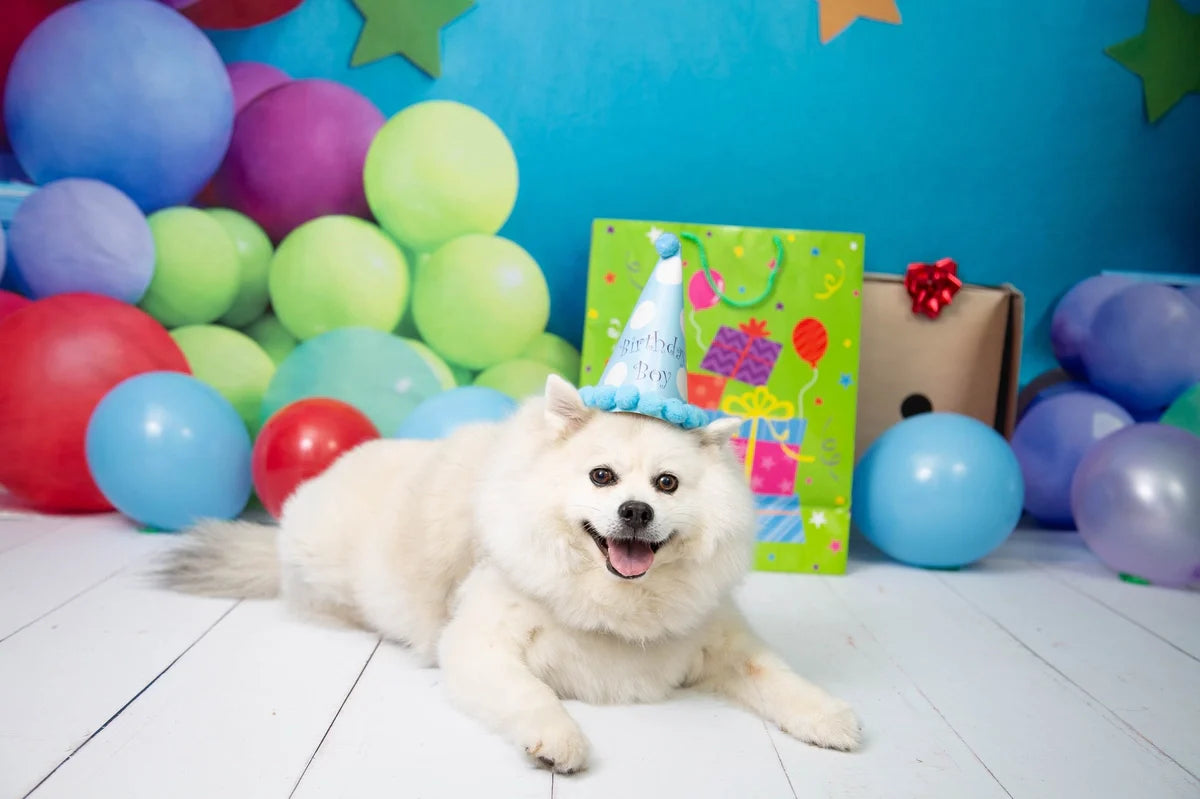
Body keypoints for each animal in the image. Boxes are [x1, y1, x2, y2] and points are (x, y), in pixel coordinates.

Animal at [166, 376, 864, 767]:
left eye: (666, 484)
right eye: (602, 476)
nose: (635, 511)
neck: (616, 599)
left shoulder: (722, 642)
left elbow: (780, 678)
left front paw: (830, 717)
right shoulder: (480, 647)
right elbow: (533, 696)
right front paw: (559, 740)